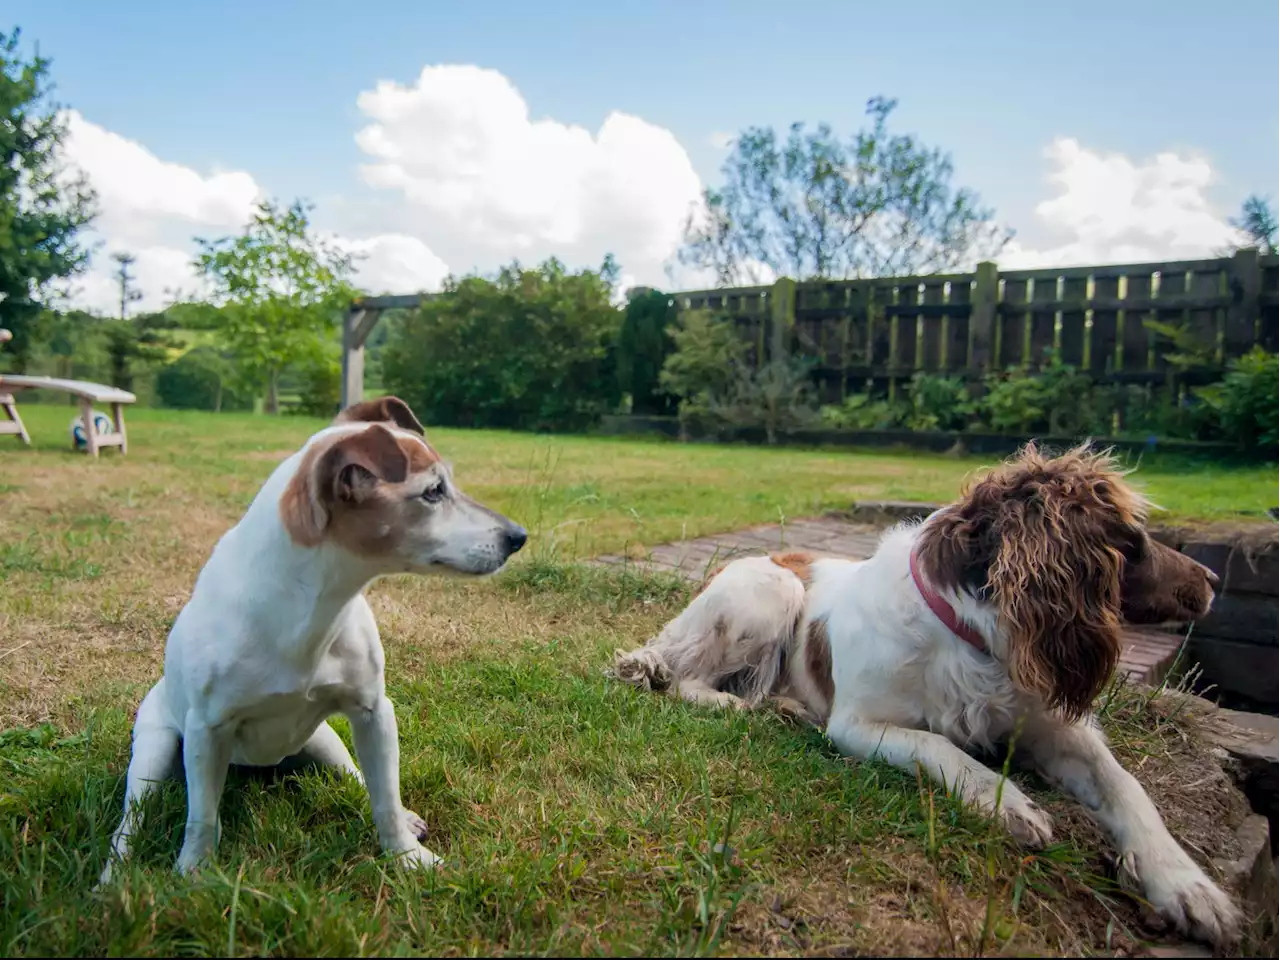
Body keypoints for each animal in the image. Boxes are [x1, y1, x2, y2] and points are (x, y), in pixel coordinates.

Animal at [93, 399, 524, 885]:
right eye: (433, 492)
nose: (518, 537)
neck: (313, 608)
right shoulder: (207, 730)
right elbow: (201, 818)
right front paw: (195, 873)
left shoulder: (374, 711)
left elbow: (384, 799)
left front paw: (407, 856)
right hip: (154, 748)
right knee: (132, 817)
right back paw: (113, 875)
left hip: (324, 739)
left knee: (358, 775)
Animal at [614, 448, 1244, 952]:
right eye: (1131, 543)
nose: (1215, 580)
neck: (970, 638)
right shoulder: (858, 723)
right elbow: (941, 746)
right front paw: (1007, 804)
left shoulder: (1050, 725)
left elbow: (1126, 787)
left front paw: (1189, 887)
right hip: (772, 590)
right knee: (684, 676)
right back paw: (742, 706)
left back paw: (785, 708)